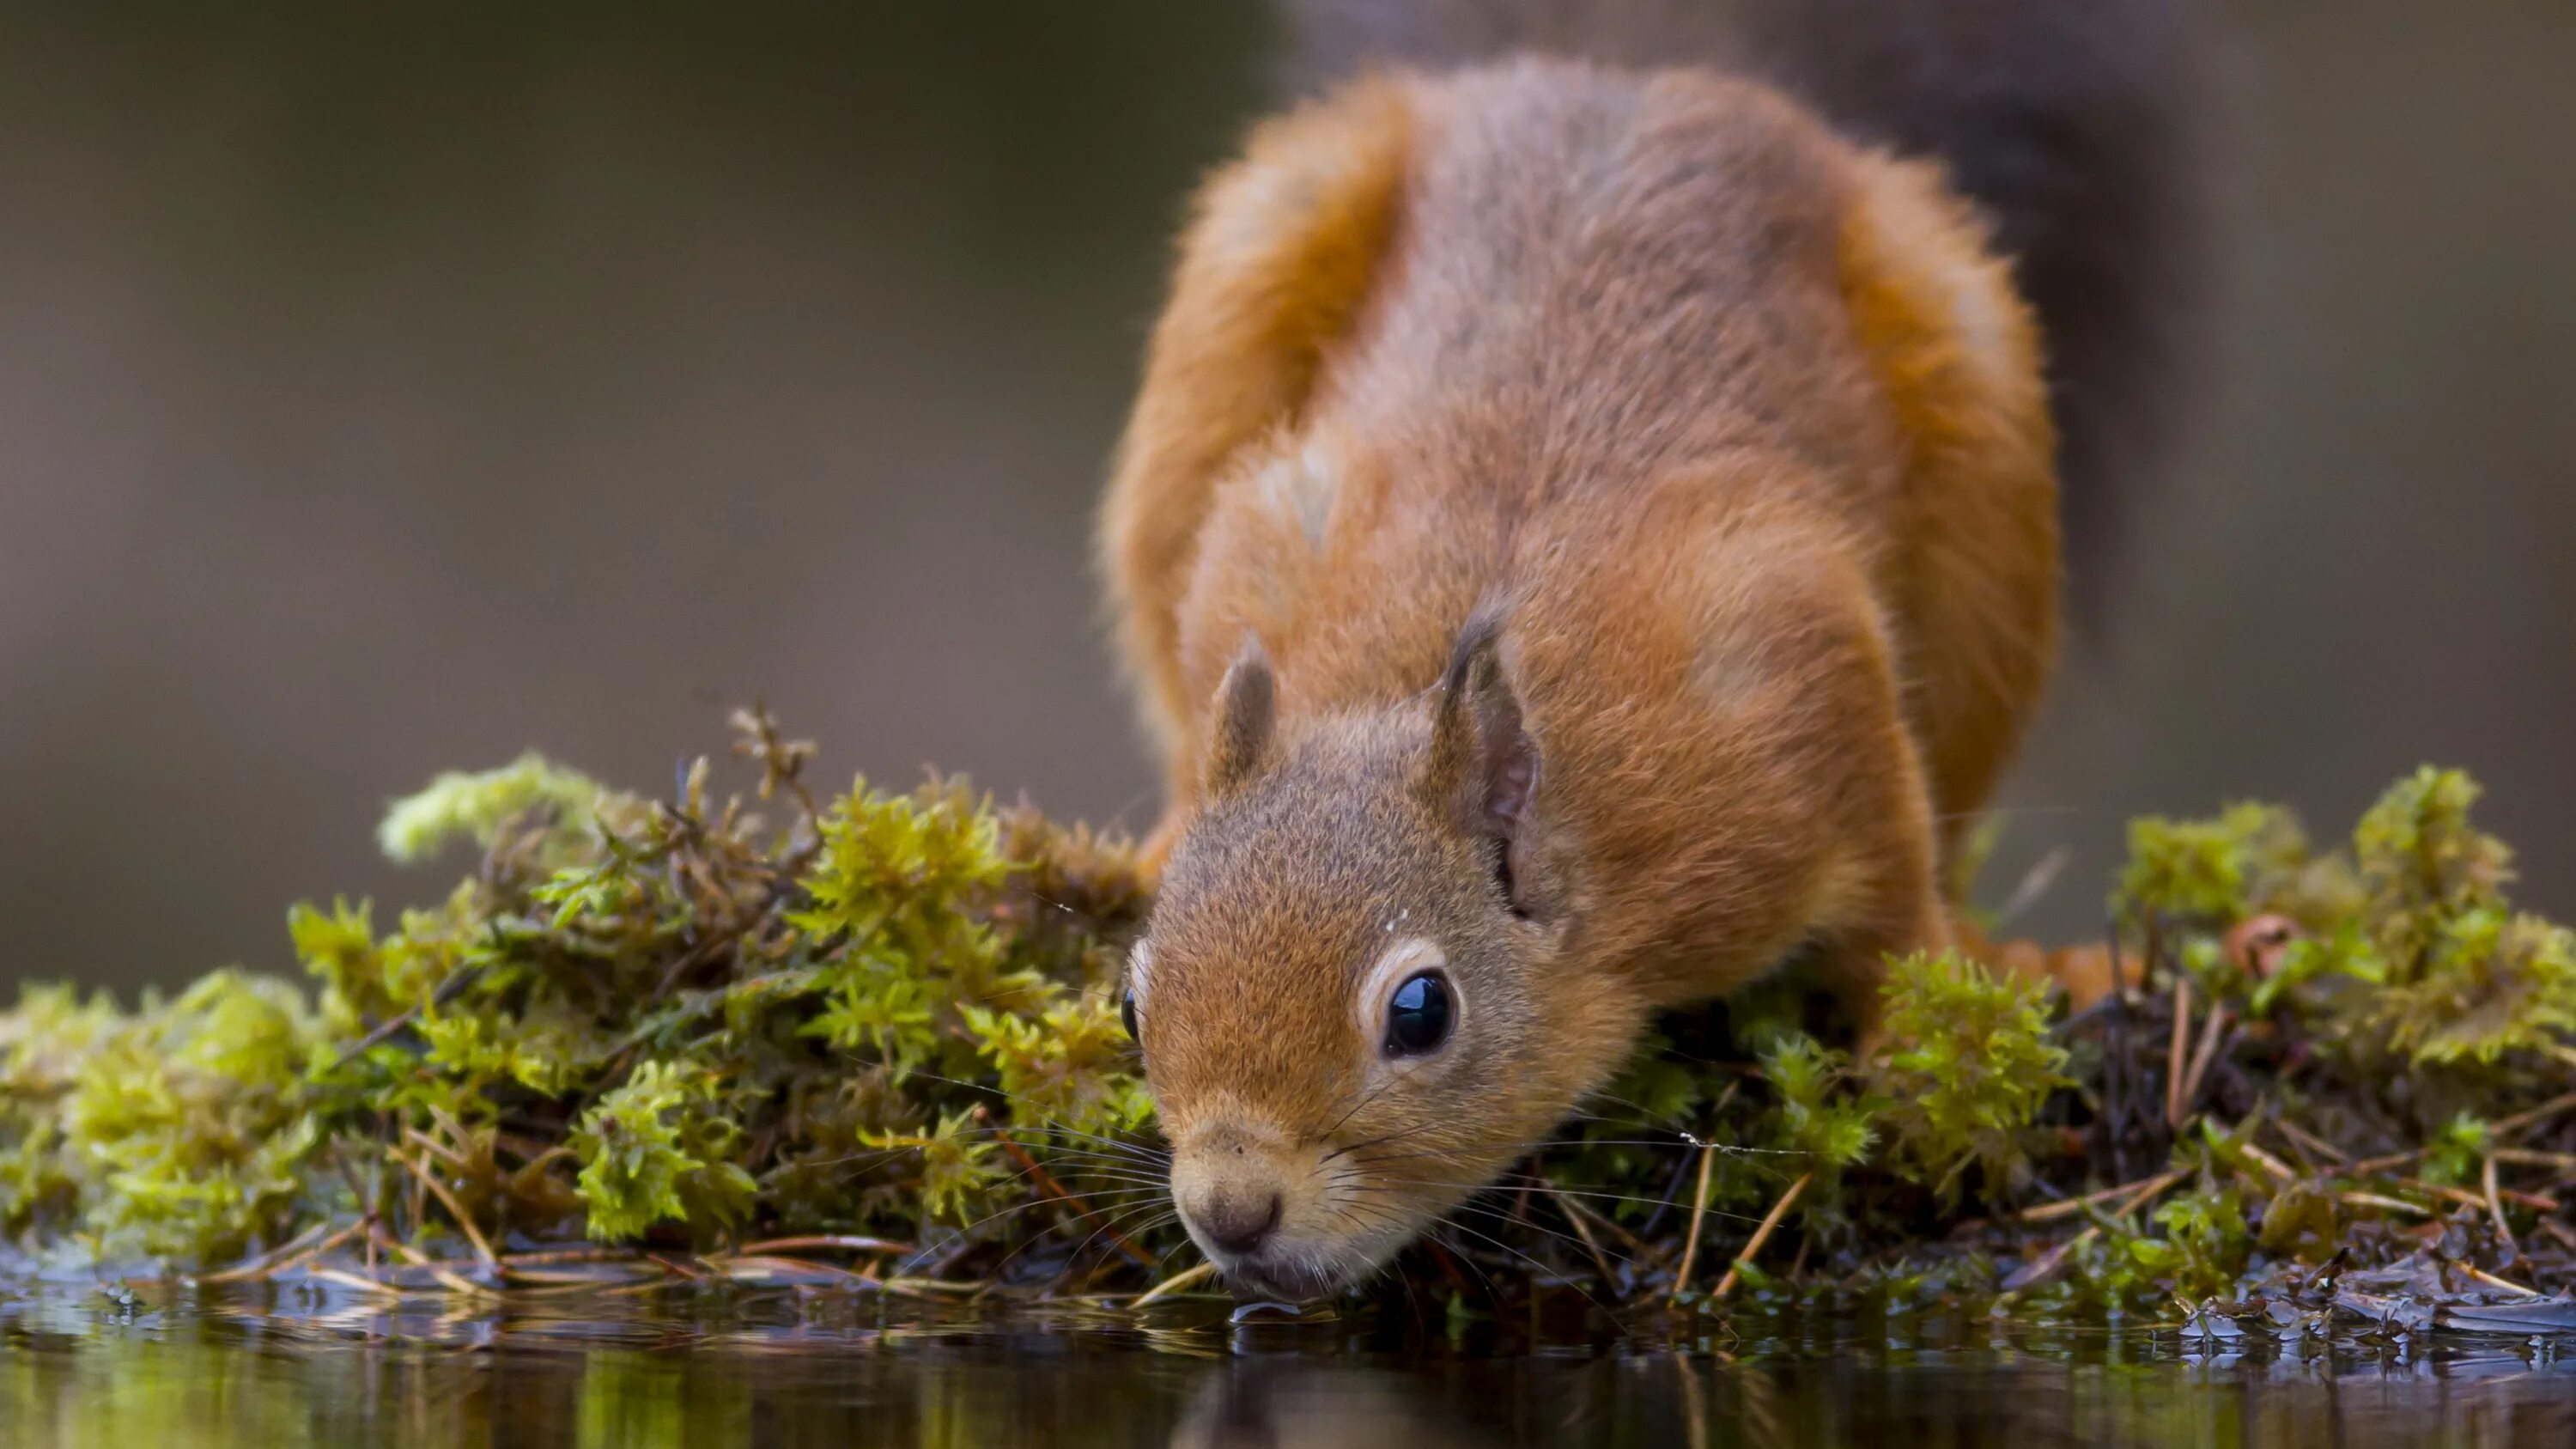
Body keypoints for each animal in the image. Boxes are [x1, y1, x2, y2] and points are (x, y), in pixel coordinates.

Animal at [1097, 0, 2205, 1299]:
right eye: (1131, 1002)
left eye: (1421, 1011)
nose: (1232, 1208)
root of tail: (1638, 74)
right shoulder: (1263, 540)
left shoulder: (1786, 670)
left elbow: (1894, 882)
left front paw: (1920, 1033)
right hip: (1246, 277)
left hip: (1985, 435)